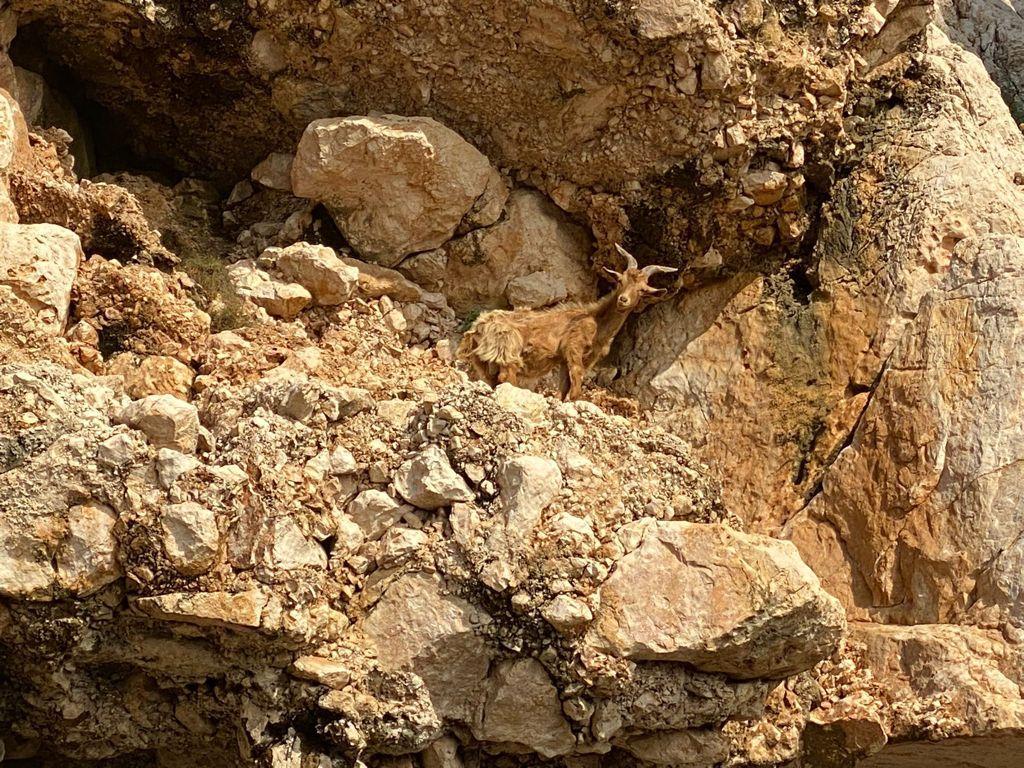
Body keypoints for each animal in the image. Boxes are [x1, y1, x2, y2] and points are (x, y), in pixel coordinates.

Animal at [457, 245, 677, 401]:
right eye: (620, 281)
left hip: (483, 362)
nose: (623, 300)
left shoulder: (566, 360)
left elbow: (563, 389)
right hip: (508, 352)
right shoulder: (573, 348)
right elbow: (576, 384)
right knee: (506, 378)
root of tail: (478, 327)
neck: (597, 322)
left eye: (642, 290)